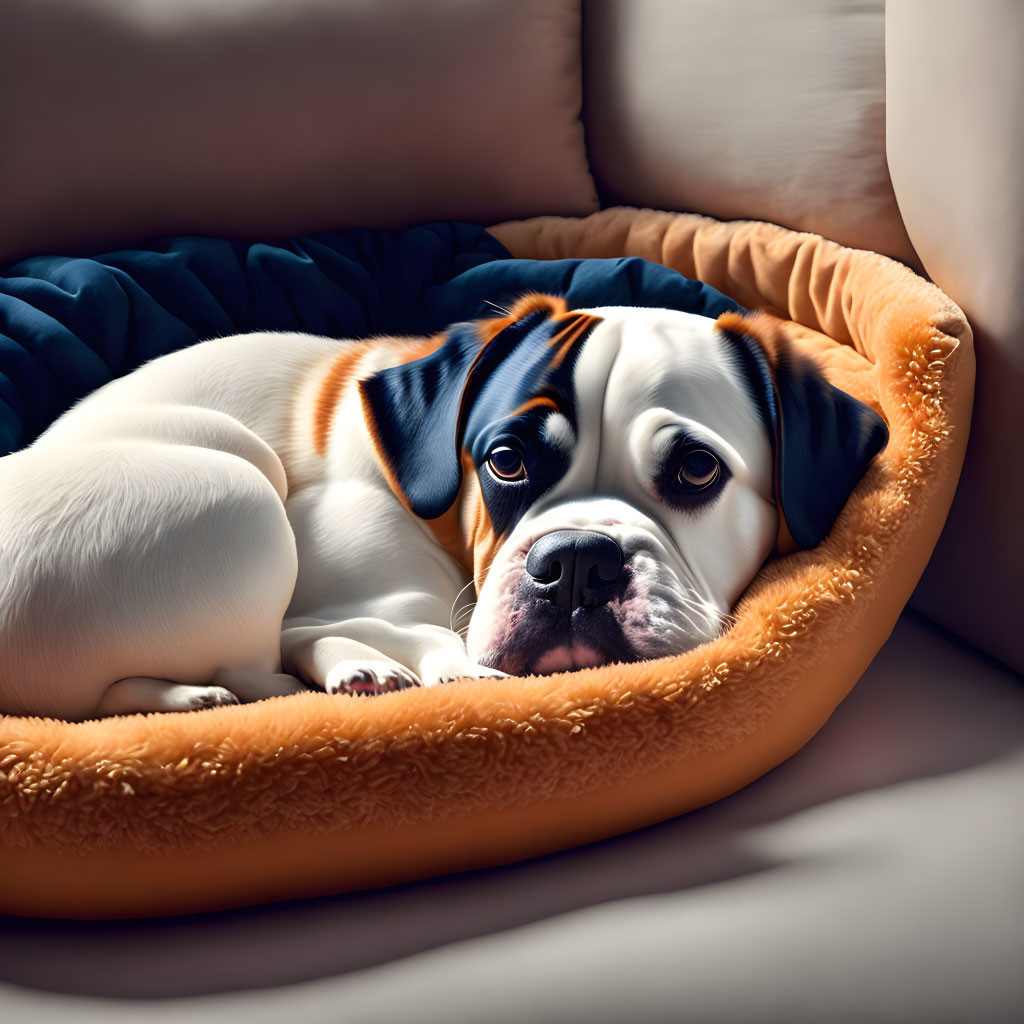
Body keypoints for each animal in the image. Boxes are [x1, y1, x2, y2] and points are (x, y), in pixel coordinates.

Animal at [0, 292, 884, 716]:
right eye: (505, 461)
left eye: (697, 470)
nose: (576, 562)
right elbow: (407, 630)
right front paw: (394, 662)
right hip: (240, 488)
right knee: (250, 661)